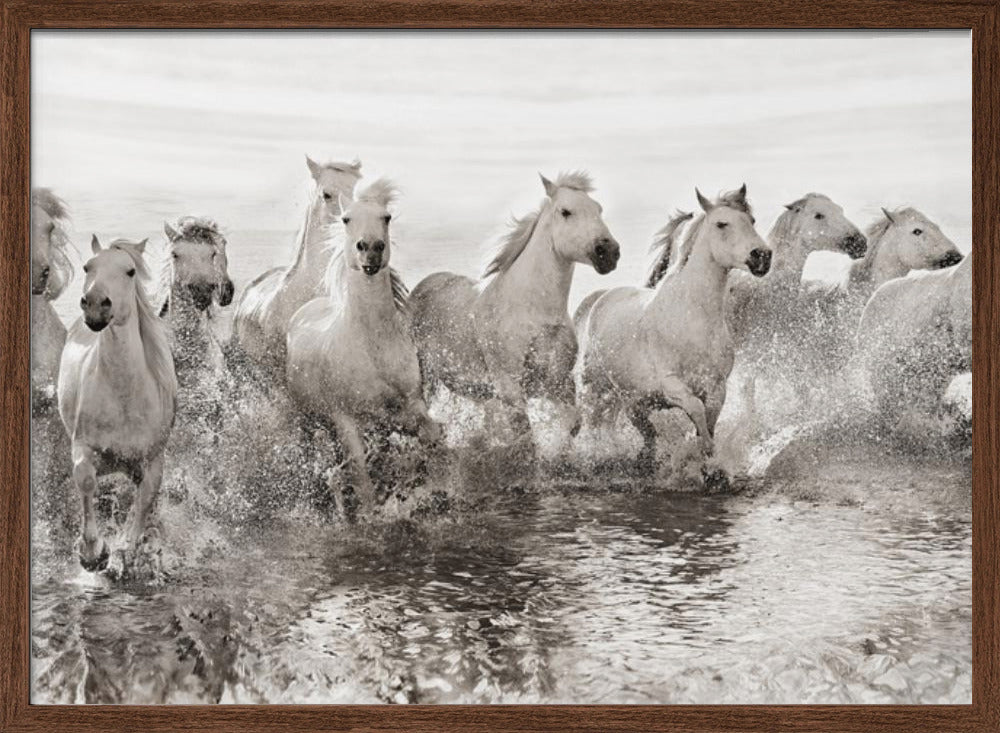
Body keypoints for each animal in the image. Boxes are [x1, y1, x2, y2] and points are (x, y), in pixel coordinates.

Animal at [58, 237, 177, 572]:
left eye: (130, 271)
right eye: (88, 267)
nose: (96, 304)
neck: (124, 398)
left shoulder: (153, 461)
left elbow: (145, 500)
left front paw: (127, 547)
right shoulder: (84, 447)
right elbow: (86, 481)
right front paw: (93, 553)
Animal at [286, 179, 439, 513]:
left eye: (387, 217)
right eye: (346, 219)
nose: (370, 249)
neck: (372, 347)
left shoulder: (410, 405)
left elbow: (432, 436)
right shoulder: (345, 421)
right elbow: (362, 476)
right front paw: (370, 514)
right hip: (307, 420)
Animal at [409, 172, 620, 453]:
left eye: (598, 209)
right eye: (566, 212)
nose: (609, 252)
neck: (533, 310)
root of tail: (424, 285)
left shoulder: (558, 381)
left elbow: (572, 422)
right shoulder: (509, 385)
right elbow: (525, 435)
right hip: (425, 376)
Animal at [574, 186, 770, 477]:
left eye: (752, 221)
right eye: (721, 223)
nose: (762, 256)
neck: (694, 319)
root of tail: (601, 297)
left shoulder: (717, 386)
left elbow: (708, 419)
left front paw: (710, 464)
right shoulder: (671, 384)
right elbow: (697, 410)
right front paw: (705, 453)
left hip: (633, 399)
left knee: (644, 433)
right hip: (596, 387)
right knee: (594, 420)